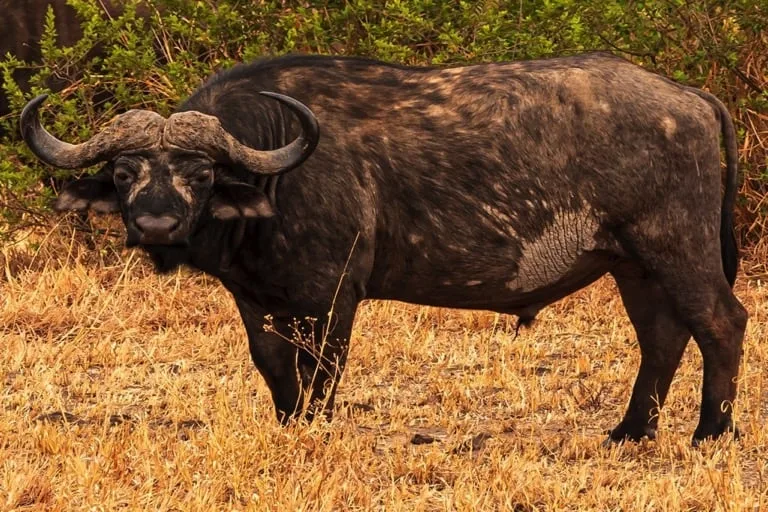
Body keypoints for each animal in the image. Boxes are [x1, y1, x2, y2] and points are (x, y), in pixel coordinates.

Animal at [20, 52, 747, 445]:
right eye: (124, 172)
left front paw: (315, 429)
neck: (278, 169)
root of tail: (688, 97)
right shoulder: (256, 298)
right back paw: (632, 430)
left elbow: (321, 371)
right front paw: (289, 426)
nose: (156, 225)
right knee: (662, 337)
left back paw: (710, 432)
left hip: (676, 247)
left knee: (721, 323)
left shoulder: (333, 296)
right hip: (632, 264)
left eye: (200, 174)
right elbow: (274, 368)